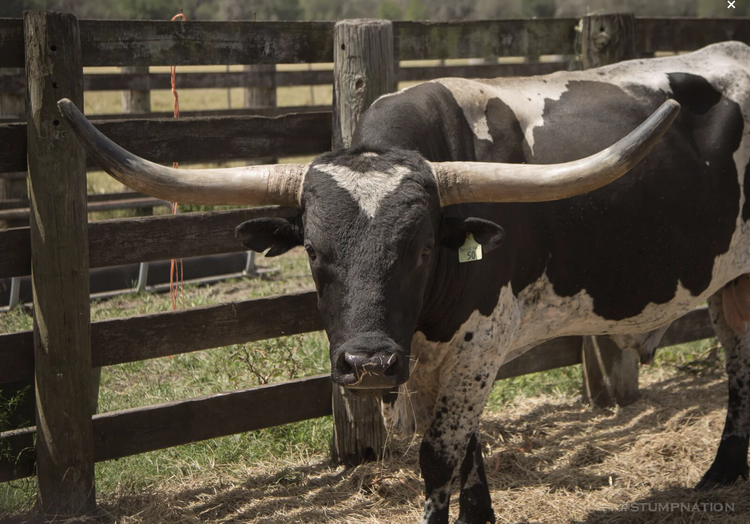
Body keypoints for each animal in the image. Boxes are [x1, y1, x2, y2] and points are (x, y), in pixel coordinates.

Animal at [57, 40, 750, 524]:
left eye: (419, 250)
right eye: (313, 252)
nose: (367, 364)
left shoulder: (479, 345)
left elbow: (440, 457)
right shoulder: (431, 356)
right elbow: (468, 451)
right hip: (732, 288)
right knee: (738, 358)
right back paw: (722, 473)